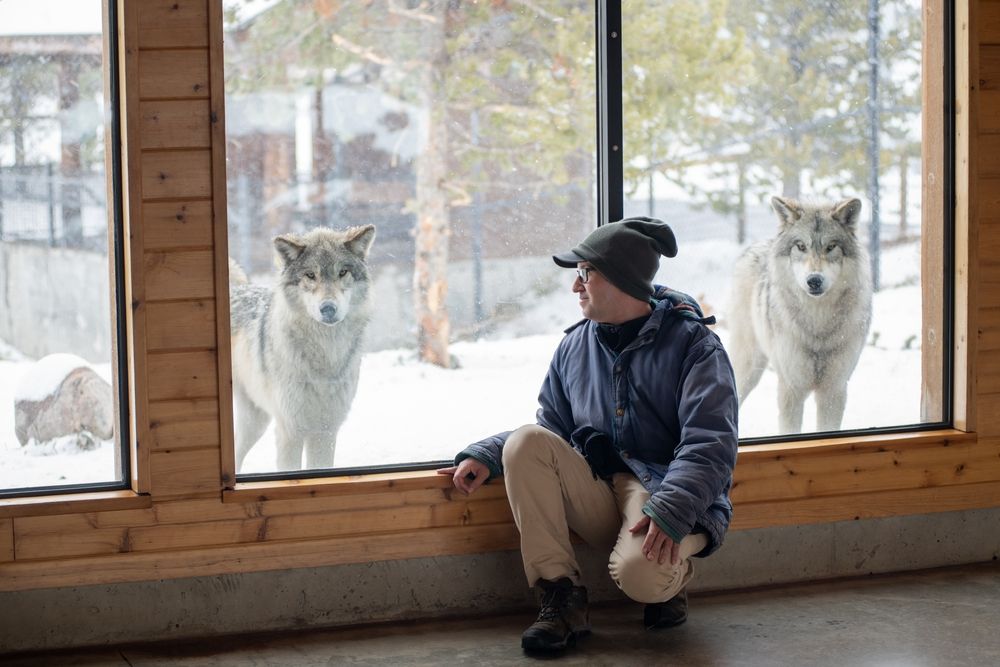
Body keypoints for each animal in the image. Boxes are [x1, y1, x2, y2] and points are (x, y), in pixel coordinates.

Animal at [229, 224, 376, 471]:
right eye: (310, 275)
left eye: (342, 272)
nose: (328, 308)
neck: (326, 355)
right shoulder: (290, 431)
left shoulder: (326, 431)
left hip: (255, 422)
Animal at [727, 197, 872, 434]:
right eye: (801, 246)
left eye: (831, 247)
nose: (814, 280)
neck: (818, 325)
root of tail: (760, 244)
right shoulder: (791, 389)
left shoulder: (834, 390)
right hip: (747, 367)